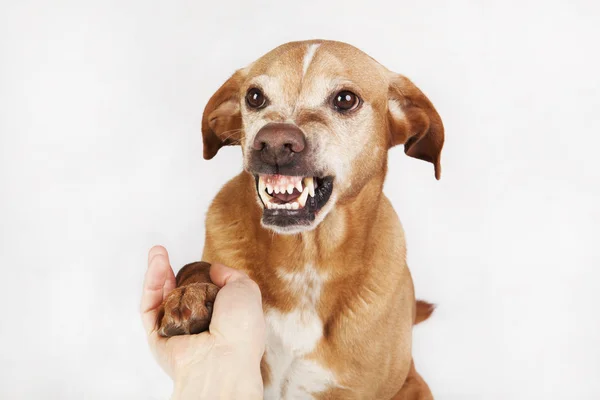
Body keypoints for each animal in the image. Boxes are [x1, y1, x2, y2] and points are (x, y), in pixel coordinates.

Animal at [157, 38, 442, 400]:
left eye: (345, 99)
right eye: (254, 96)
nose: (275, 142)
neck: (306, 259)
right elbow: (194, 266)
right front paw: (190, 296)